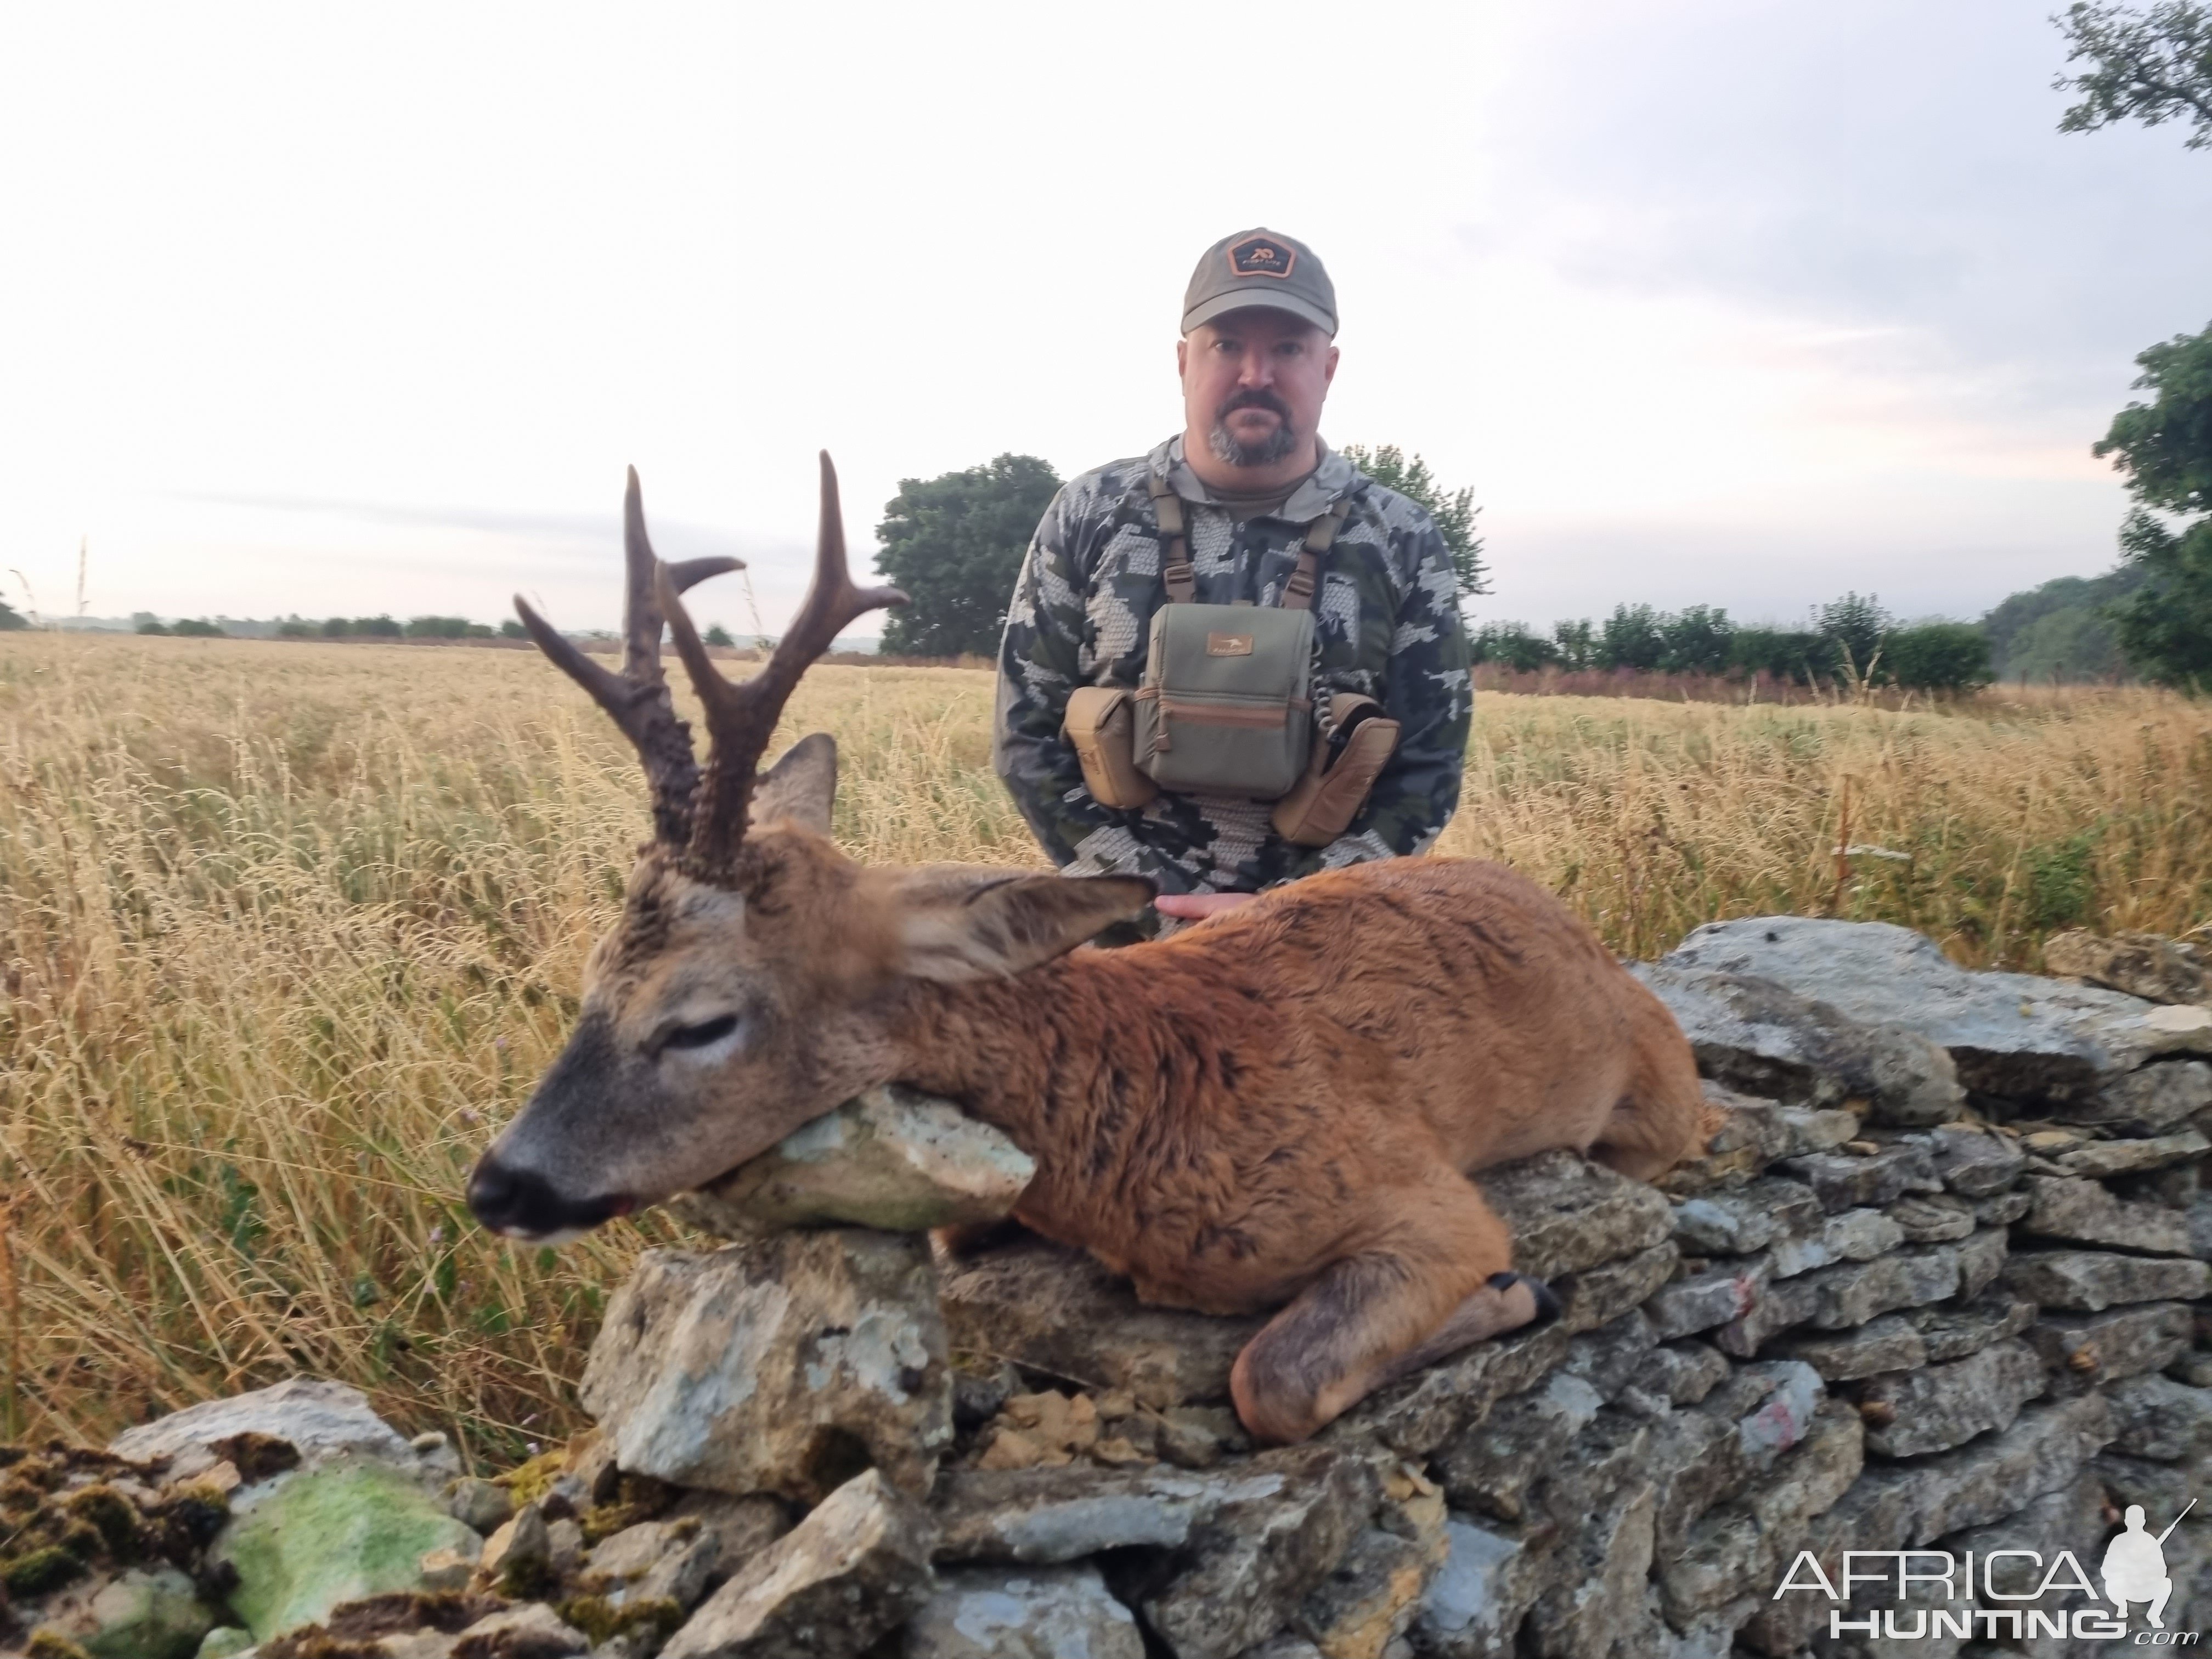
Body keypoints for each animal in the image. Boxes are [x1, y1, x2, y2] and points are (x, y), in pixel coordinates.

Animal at [471, 462, 1707, 1451]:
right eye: (591, 982)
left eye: (701, 1020)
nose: (500, 1183)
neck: (1139, 1120)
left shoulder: (1422, 1195)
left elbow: (1272, 1378)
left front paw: (1520, 1294)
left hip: (1661, 1107)